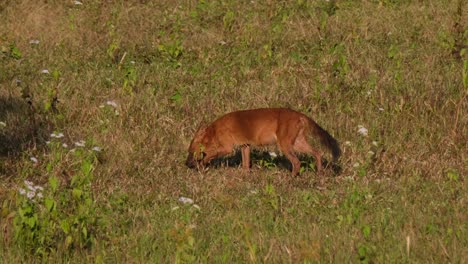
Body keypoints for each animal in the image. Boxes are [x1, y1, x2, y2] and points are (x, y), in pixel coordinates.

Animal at [185, 107, 342, 175]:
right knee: (317, 153)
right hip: (297, 143)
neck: (214, 130)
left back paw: (291, 179)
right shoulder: (245, 145)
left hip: (285, 145)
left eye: (190, 152)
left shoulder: (227, 147)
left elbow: (210, 156)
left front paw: (201, 165)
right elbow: (245, 165)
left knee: (297, 162)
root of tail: (300, 115)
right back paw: (319, 173)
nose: (186, 164)